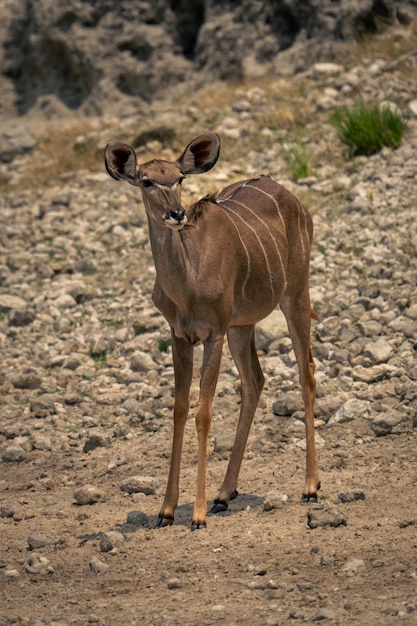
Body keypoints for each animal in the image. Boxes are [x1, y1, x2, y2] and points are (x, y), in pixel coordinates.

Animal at [104, 133, 318, 528]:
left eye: (179, 178)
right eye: (146, 180)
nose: (176, 213)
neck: (188, 283)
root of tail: (290, 196)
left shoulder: (213, 332)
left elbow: (203, 411)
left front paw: (198, 514)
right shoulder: (179, 335)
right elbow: (179, 408)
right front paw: (166, 510)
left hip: (294, 295)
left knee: (306, 372)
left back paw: (310, 487)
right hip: (242, 325)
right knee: (254, 382)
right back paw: (224, 494)